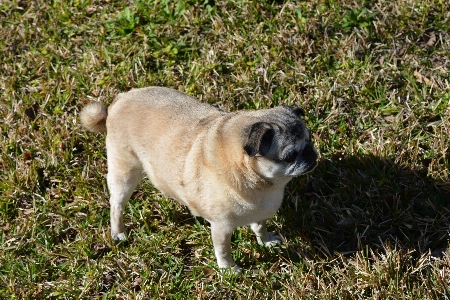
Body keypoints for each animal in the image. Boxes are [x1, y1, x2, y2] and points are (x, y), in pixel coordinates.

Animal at [81, 86, 320, 270]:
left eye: (310, 140)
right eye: (289, 156)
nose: (311, 153)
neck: (260, 183)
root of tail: (118, 102)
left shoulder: (261, 213)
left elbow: (260, 227)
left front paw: (266, 240)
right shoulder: (221, 227)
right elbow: (223, 250)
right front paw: (228, 269)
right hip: (125, 172)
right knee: (117, 205)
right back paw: (118, 232)